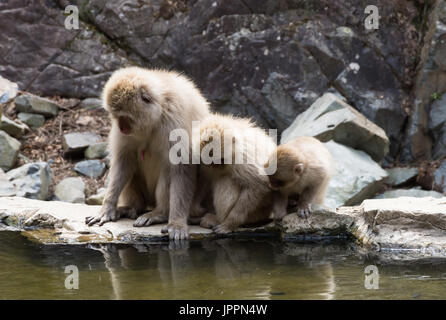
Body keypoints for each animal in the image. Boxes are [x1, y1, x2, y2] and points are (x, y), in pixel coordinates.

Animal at [86, 66, 211, 240]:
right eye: (116, 116)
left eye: (125, 117)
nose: (121, 127)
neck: (157, 115)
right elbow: (124, 161)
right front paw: (107, 208)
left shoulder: (174, 121)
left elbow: (181, 168)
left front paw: (177, 222)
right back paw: (132, 207)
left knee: (168, 170)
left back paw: (160, 213)